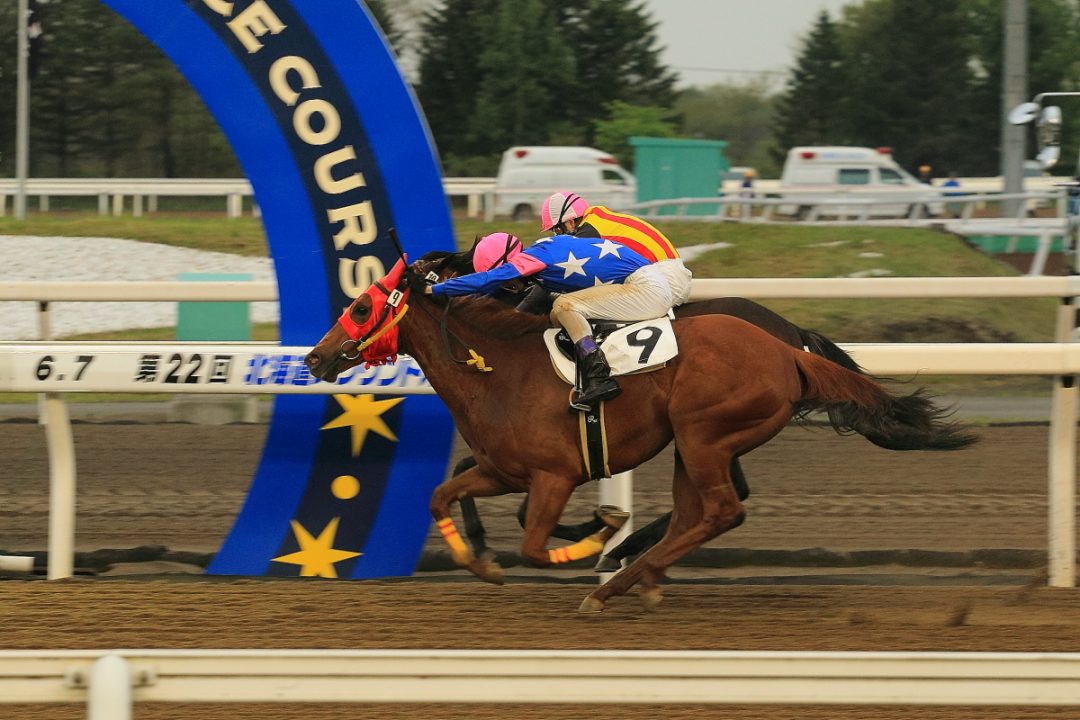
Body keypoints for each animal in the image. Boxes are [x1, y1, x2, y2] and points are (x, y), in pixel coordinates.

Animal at [304, 254, 977, 613]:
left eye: (361, 307)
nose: (315, 357)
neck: (497, 365)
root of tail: (788, 348)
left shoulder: (554, 475)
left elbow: (533, 540)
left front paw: (597, 534)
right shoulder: (501, 468)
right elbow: (443, 494)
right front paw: (483, 564)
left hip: (704, 433)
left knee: (724, 509)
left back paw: (619, 578)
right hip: (691, 441)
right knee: (697, 513)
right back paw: (641, 576)